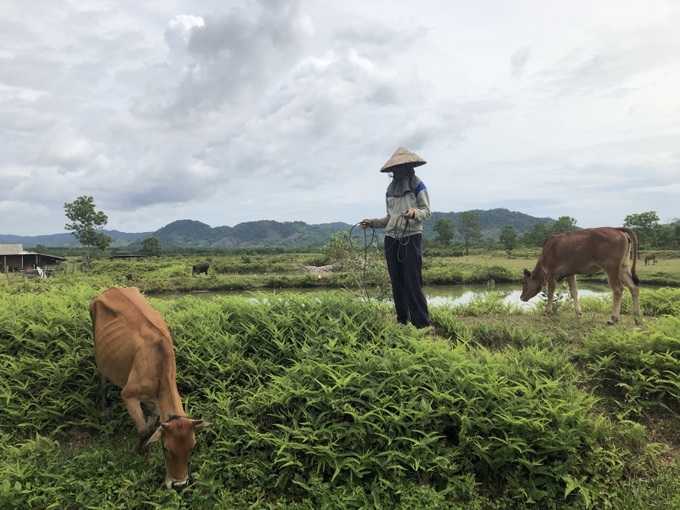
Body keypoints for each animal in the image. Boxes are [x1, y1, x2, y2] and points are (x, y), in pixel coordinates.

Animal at [90, 286, 211, 490]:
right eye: (166, 448)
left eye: (192, 447)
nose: (180, 484)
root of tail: (110, 289)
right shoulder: (128, 395)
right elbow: (144, 431)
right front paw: (137, 451)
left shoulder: (156, 403)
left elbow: (152, 426)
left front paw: (147, 453)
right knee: (102, 377)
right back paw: (104, 409)